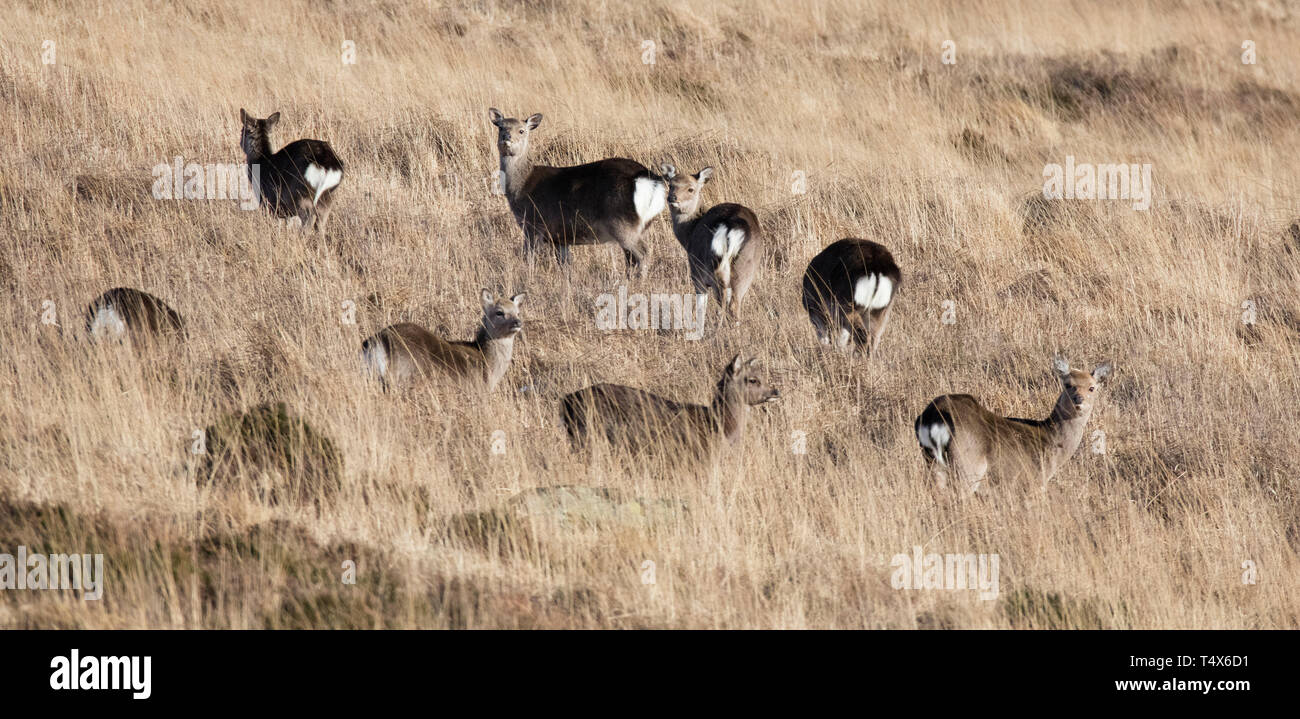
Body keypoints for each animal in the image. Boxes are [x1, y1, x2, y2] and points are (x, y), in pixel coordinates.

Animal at [488, 107, 670, 275]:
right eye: (501, 127)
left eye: (521, 130)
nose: (507, 138)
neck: (521, 187)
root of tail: (650, 178)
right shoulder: (560, 237)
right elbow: (565, 266)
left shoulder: (533, 224)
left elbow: (529, 259)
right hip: (641, 225)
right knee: (632, 257)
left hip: (622, 221)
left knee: (643, 253)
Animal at [660, 163, 759, 323]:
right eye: (671, 185)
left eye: (691, 189)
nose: (672, 198)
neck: (689, 234)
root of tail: (731, 226)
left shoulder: (696, 274)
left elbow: (701, 307)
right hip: (746, 266)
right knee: (734, 304)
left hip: (710, 270)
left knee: (725, 305)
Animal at [915, 353, 1118, 494]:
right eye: (1068, 384)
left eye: (1092, 387)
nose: (1079, 399)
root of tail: (933, 415)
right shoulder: (1033, 481)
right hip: (968, 464)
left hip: (933, 461)